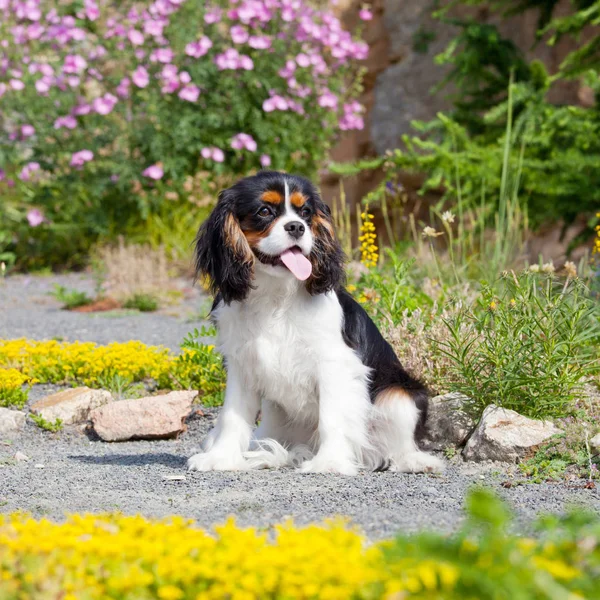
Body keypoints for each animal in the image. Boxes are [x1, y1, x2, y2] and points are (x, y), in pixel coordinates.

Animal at [189, 171, 446, 476]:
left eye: (305, 212)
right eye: (264, 211)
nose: (297, 227)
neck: (276, 295)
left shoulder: (334, 364)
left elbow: (331, 417)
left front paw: (330, 462)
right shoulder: (241, 365)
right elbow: (232, 416)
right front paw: (221, 457)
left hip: (399, 395)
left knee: (400, 444)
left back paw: (416, 461)